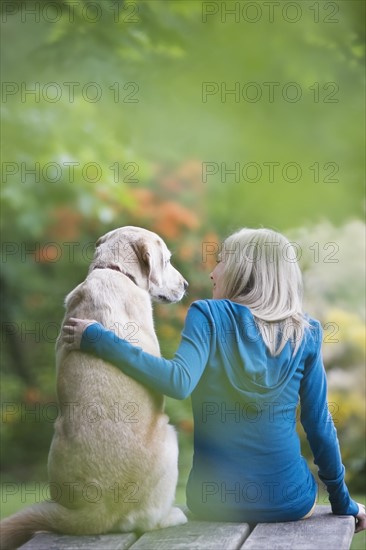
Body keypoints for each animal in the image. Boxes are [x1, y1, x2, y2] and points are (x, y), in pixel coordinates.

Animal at [0, 226, 189, 548]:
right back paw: (172, 516)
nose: (187, 285)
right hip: (169, 437)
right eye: (167, 260)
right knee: (147, 520)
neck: (114, 271)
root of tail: (95, 511)